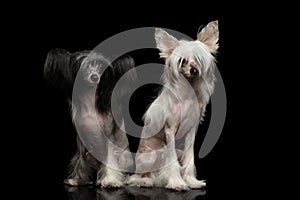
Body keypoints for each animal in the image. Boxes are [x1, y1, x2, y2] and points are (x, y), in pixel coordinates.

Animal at [43, 48, 137, 188]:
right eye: (84, 65)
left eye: (101, 66)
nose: (94, 77)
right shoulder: (81, 141)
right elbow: (80, 161)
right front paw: (78, 180)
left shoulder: (108, 135)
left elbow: (110, 159)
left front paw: (110, 181)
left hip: (124, 158)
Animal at [126, 20, 218, 191]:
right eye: (183, 61)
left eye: (198, 60)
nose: (194, 70)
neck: (188, 95)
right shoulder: (170, 130)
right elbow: (172, 162)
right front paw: (177, 183)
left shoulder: (191, 132)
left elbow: (189, 159)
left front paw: (191, 182)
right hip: (150, 157)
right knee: (136, 176)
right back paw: (145, 182)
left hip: (178, 151)